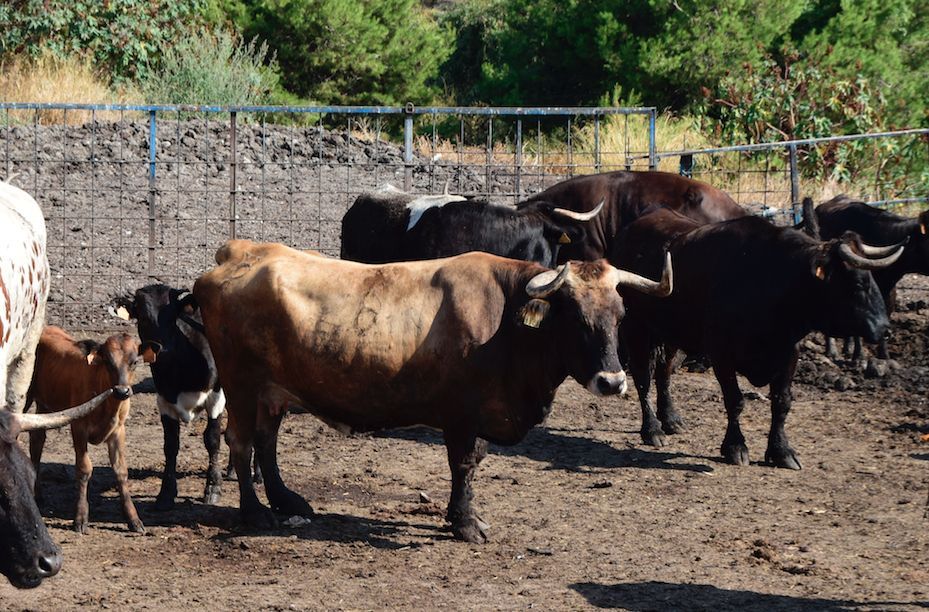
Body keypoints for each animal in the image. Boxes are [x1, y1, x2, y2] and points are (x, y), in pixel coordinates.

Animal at [26, 328, 150, 532]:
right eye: (108, 361)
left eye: (134, 362)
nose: (122, 391)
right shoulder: (79, 427)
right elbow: (84, 469)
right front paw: (81, 518)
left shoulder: (118, 430)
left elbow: (121, 471)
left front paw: (134, 519)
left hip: (43, 405)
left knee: (37, 440)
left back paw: (38, 494)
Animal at [114, 284, 230, 510]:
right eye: (143, 317)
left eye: (173, 316)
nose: (162, 350)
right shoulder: (164, 400)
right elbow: (170, 446)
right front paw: (165, 494)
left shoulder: (216, 395)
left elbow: (212, 439)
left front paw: (213, 487)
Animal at [192, 241, 668, 544]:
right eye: (574, 318)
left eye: (619, 314)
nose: (612, 381)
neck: (505, 321)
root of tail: (240, 253)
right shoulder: (460, 416)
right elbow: (463, 465)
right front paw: (465, 523)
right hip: (242, 385)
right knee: (241, 442)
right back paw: (255, 513)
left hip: (272, 392)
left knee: (266, 442)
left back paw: (286, 500)